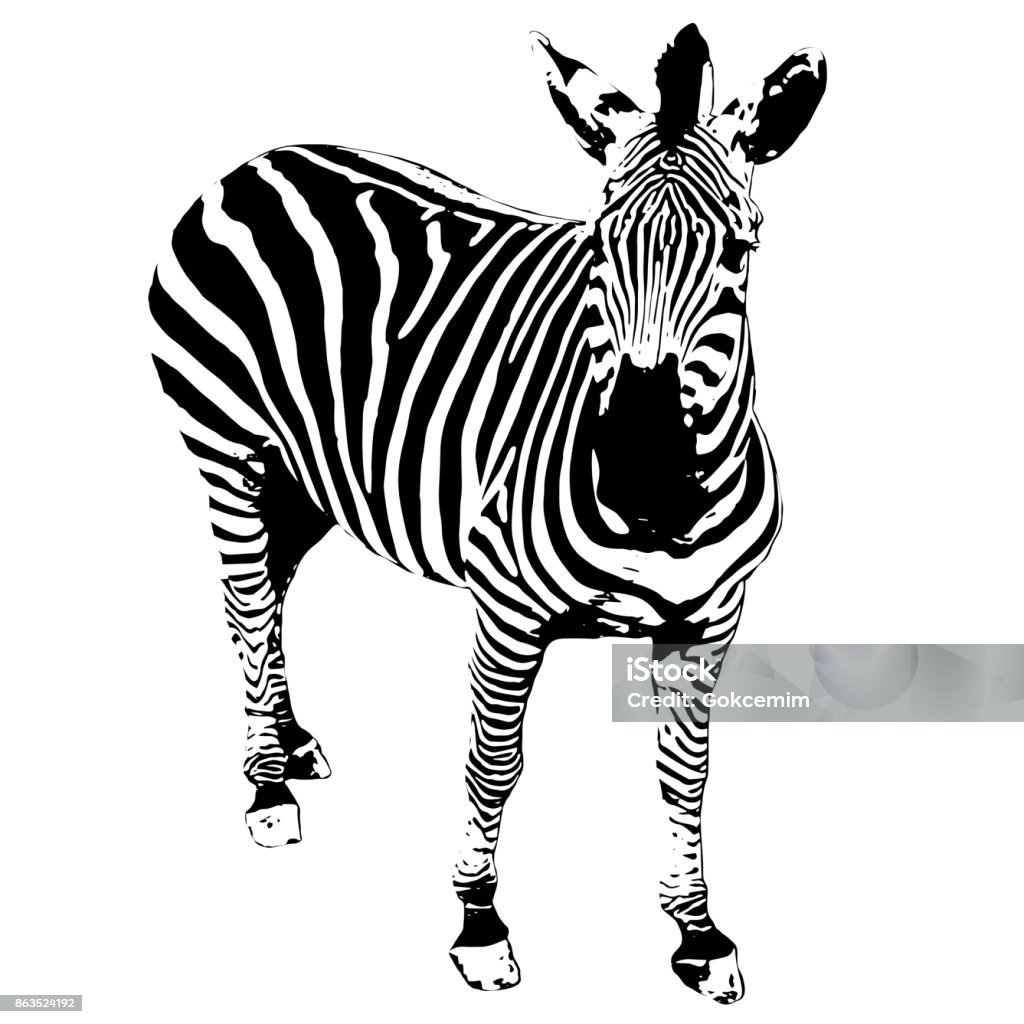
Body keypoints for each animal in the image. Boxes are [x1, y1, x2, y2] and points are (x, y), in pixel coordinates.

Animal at [148, 24, 825, 1002]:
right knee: (244, 601)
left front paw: (697, 936)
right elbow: (494, 762)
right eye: (598, 249)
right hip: (228, 447)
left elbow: (684, 776)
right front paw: (479, 924)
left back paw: (291, 741)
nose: (639, 473)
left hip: (309, 478)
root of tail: (254, 160)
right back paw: (269, 788)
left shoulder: (711, 620)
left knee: (268, 597)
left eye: (739, 253)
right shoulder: (507, 609)